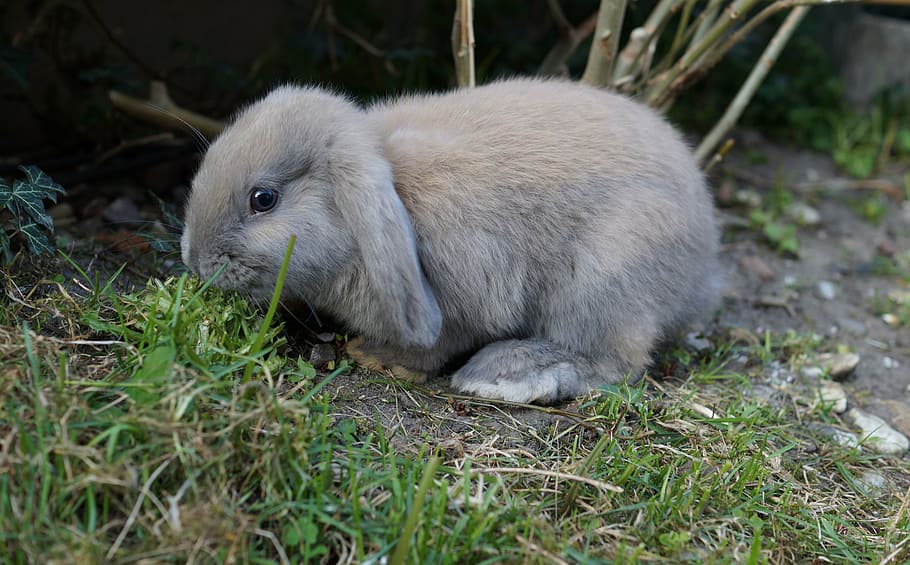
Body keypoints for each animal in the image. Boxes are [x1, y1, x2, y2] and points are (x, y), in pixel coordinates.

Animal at [180, 77, 721, 405]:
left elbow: (442, 341)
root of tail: (703, 264)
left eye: (263, 199)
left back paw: (505, 373)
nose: (195, 261)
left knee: (615, 361)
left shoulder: (466, 297)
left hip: (603, 280)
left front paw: (382, 359)